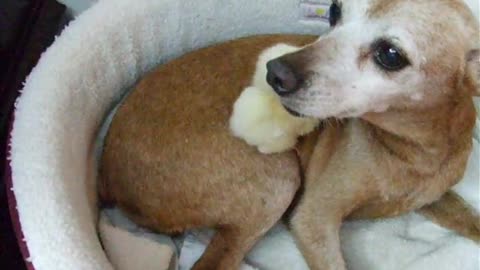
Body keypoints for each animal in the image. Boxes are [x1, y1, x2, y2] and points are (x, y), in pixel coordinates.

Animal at [99, 1, 478, 268]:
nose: (274, 72)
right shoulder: (314, 220)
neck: (411, 152)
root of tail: (108, 174)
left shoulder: (434, 198)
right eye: (334, 10)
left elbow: (471, 220)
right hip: (278, 179)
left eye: (390, 54)